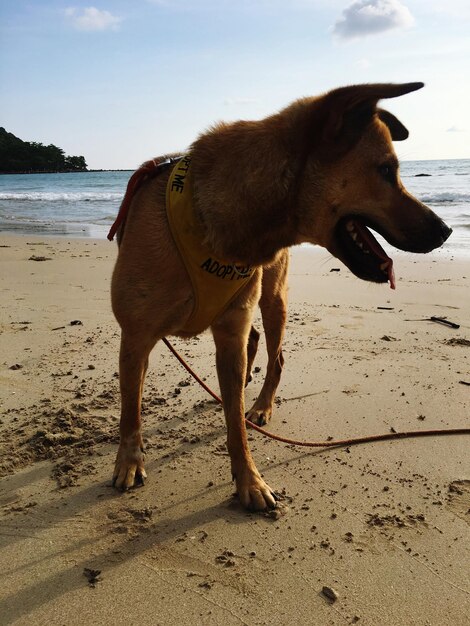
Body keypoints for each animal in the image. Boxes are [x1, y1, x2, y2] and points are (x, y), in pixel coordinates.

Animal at [110, 83, 452, 510]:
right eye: (387, 170)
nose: (446, 230)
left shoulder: (230, 330)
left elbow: (236, 429)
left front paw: (249, 480)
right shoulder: (136, 337)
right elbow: (130, 409)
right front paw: (129, 462)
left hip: (273, 299)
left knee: (274, 357)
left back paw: (258, 405)